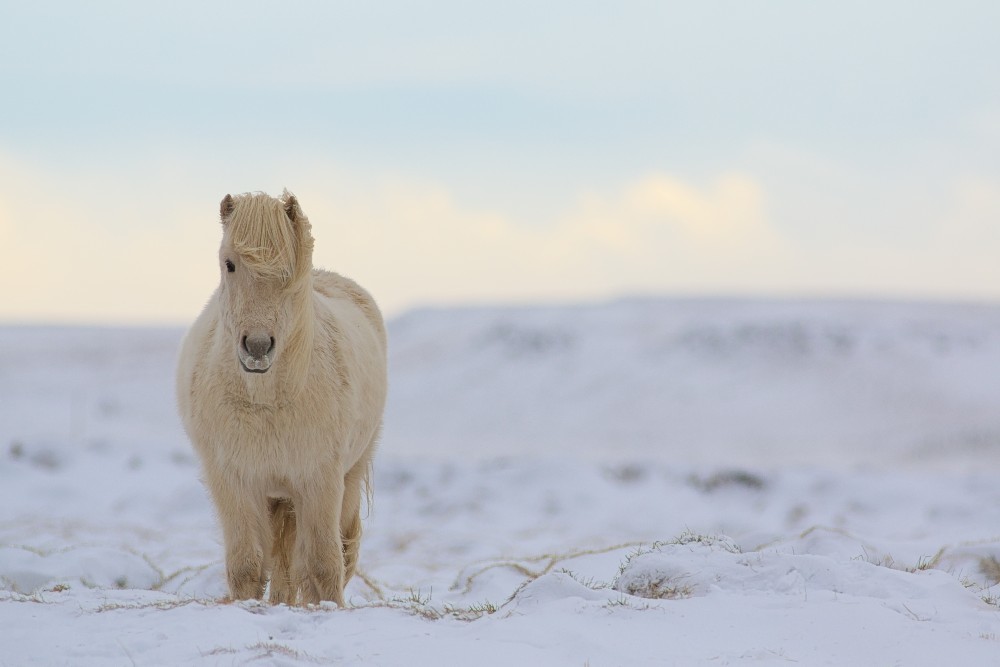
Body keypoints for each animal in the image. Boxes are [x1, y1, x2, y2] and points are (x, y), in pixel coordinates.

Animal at [176, 189, 386, 604]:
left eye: (288, 271)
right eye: (230, 264)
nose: (257, 348)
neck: (266, 402)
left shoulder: (320, 481)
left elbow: (322, 564)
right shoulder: (233, 481)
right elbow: (247, 566)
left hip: (348, 474)